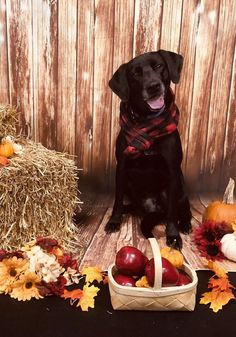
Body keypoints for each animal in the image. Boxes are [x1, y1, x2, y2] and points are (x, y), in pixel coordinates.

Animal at [105, 50, 192, 249]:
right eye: (135, 73)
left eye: (158, 66)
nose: (153, 86)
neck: (147, 122)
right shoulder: (121, 168)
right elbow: (117, 200)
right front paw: (114, 220)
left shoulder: (173, 172)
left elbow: (172, 213)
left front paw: (173, 235)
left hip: (181, 190)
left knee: (183, 211)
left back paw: (185, 224)